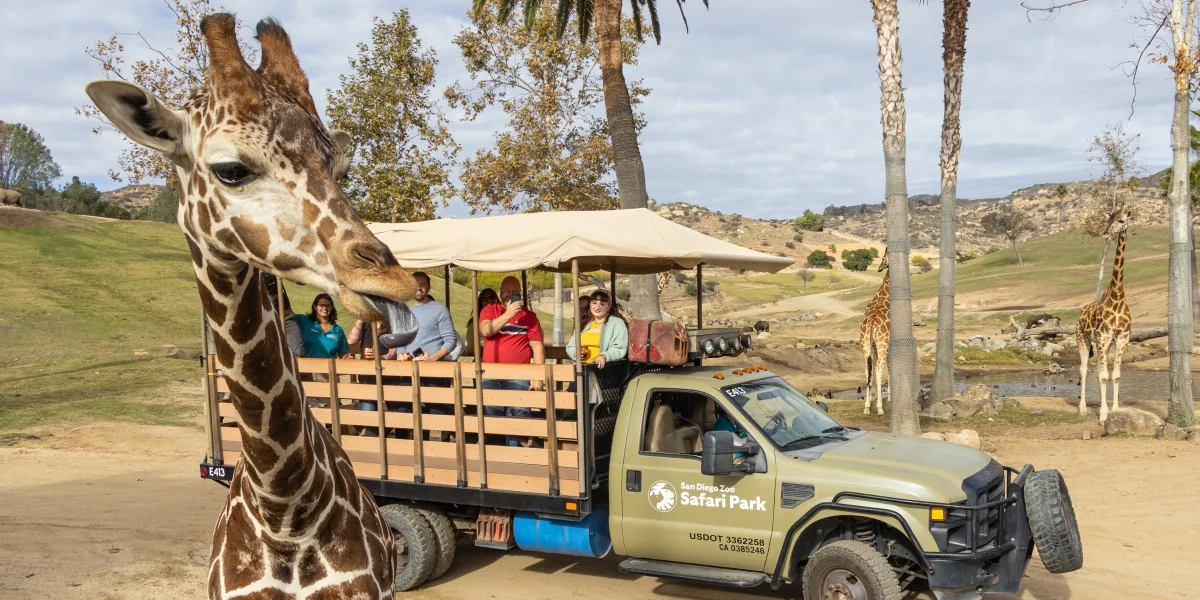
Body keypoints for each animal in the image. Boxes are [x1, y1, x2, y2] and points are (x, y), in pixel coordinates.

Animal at [1076, 208, 1133, 424]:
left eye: (1122, 220)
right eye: (1109, 219)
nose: (1106, 233)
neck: (1117, 296)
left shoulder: (1122, 338)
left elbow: (1114, 375)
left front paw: (1114, 411)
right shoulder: (1102, 337)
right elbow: (1102, 376)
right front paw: (1102, 416)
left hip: (1104, 345)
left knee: (1099, 370)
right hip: (1083, 338)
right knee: (1084, 369)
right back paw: (1083, 409)